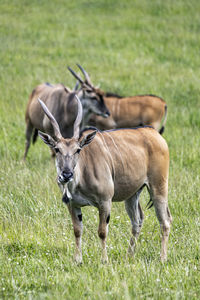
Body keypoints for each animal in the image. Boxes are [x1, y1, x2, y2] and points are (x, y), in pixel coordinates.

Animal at [37, 95, 172, 262]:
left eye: (78, 150)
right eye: (57, 149)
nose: (66, 174)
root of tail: (154, 133)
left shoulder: (105, 201)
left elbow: (102, 231)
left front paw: (104, 260)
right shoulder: (72, 204)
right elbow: (77, 230)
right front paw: (78, 260)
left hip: (158, 186)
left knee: (165, 221)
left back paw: (162, 258)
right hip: (132, 194)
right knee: (137, 220)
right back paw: (129, 256)